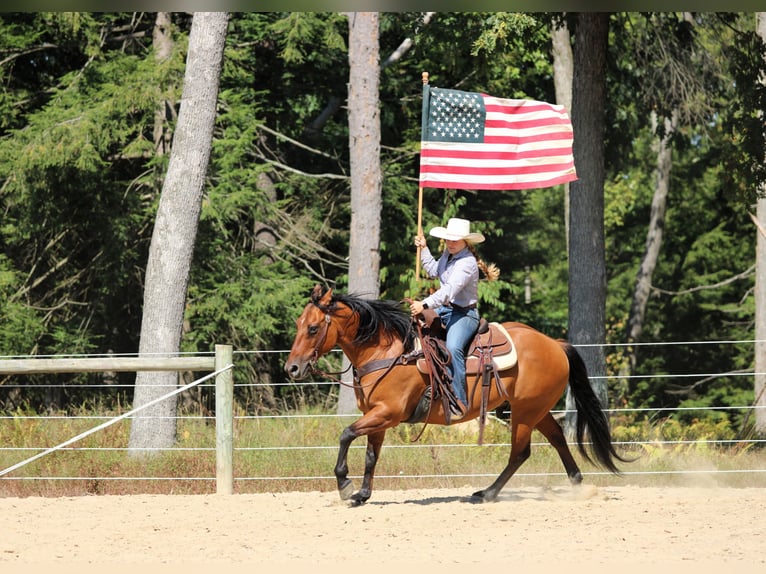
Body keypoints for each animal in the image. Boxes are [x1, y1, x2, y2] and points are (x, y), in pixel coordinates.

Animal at [284, 284, 628, 506]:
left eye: (313, 328)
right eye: (299, 323)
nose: (292, 368)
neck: (387, 351)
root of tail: (555, 344)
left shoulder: (387, 413)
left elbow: (345, 434)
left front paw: (344, 485)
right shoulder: (377, 416)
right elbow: (371, 455)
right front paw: (362, 495)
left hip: (524, 413)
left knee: (520, 453)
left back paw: (487, 494)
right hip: (534, 410)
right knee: (557, 438)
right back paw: (576, 484)